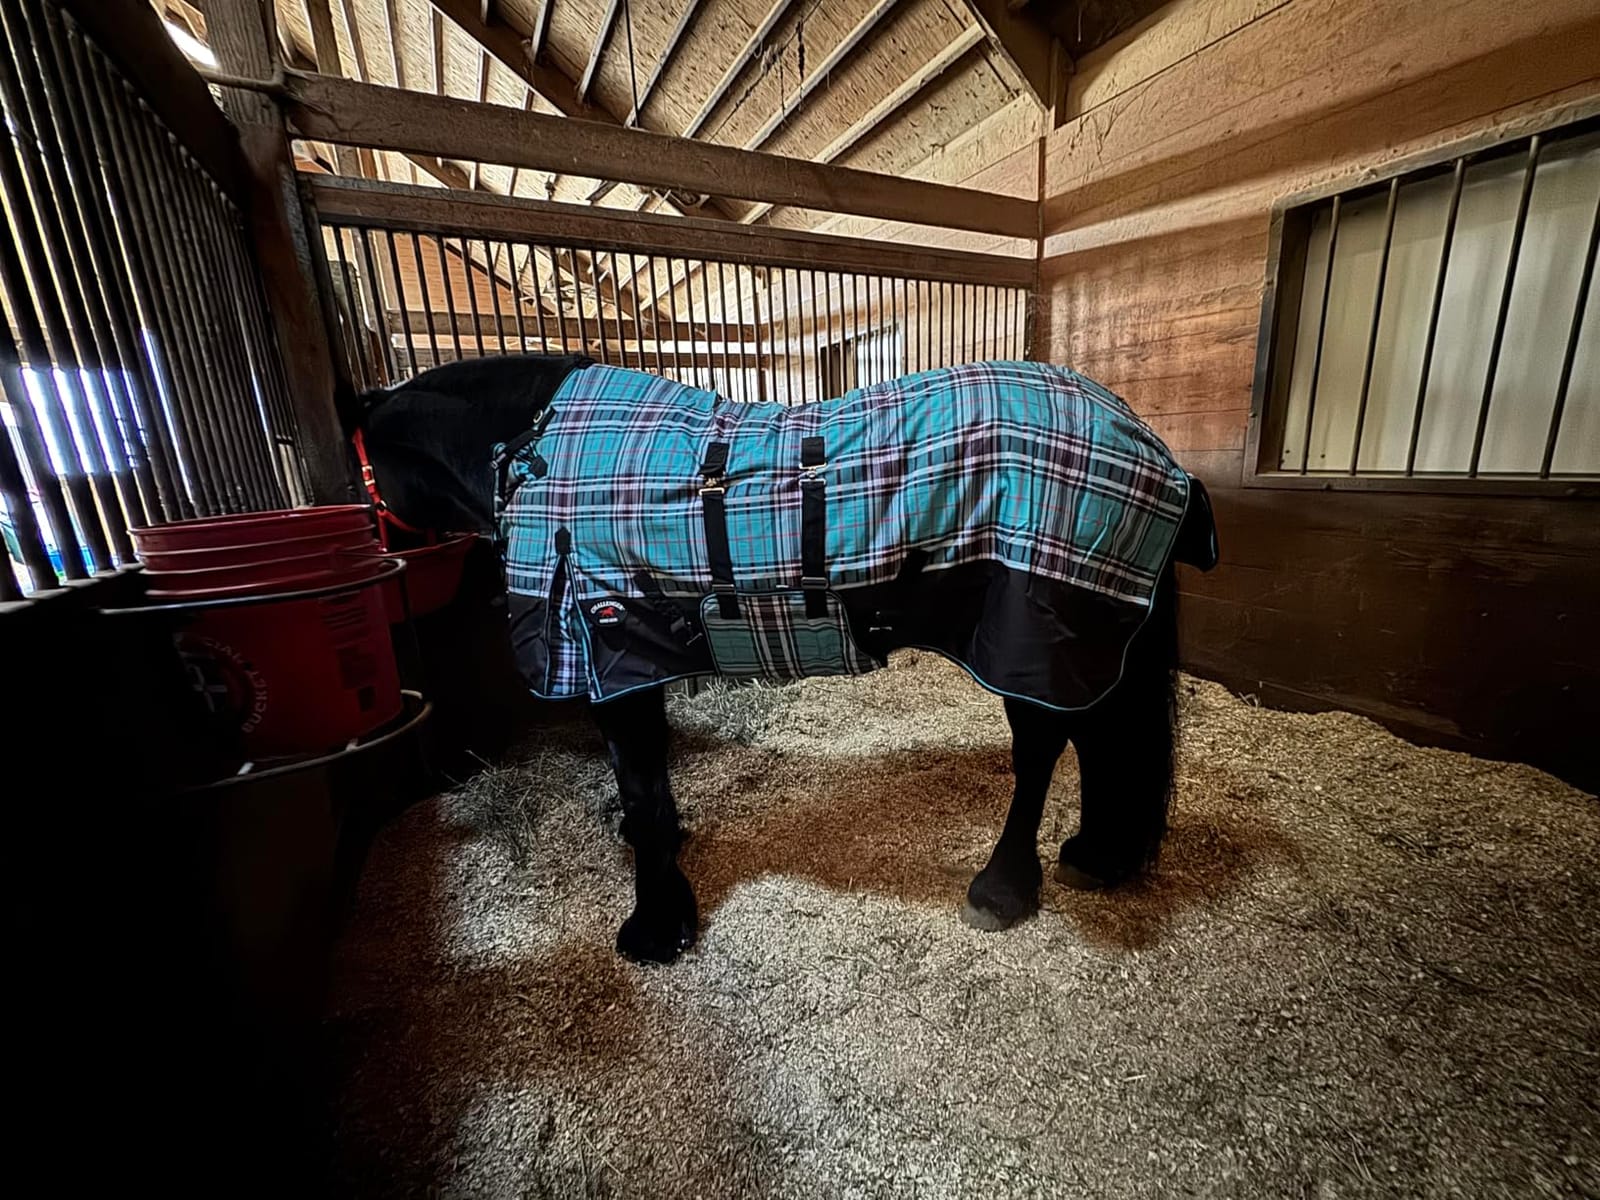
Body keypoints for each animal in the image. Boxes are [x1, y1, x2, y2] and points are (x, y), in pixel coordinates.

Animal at [341, 354, 1218, 964]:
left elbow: (641, 784)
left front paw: (655, 923)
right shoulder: (634, 658)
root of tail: (1151, 445)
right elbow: (647, 785)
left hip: (1033, 640)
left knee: (1043, 753)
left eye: (364, 469)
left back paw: (1003, 889)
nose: (373, 561)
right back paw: (1099, 855)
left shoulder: (610, 654)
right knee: (1104, 739)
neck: (536, 449)